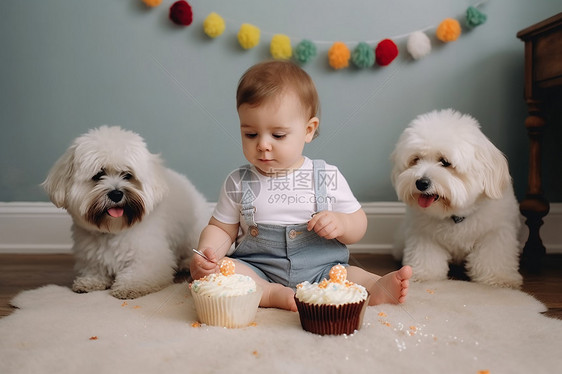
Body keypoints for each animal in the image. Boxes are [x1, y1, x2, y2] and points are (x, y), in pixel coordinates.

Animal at [41, 125, 208, 298]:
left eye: (128, 175)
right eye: (98, 175)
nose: (116, 194)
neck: (114, 230)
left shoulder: (150, 258)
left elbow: (139, 274)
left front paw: (129, 286)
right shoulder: (91, 255)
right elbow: (95, 271)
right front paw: (89, 281)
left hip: (191, 234)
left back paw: (186, 262)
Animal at [390, 109, 520, 288]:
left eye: (445, 162)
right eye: (416, 159)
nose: (421, 183)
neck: (456, 214)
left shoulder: (496, 232)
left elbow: (493, 256)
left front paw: (499, 279)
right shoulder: (424, 235)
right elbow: (426, 256)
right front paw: (423, 275)